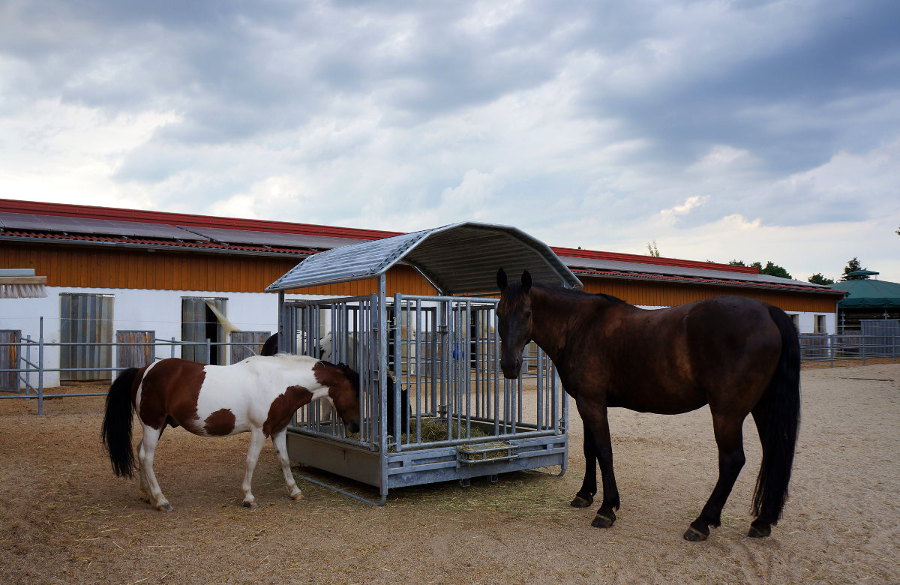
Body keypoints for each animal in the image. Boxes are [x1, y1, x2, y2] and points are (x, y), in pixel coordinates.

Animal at [100, 354, 360, 508]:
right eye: (356, 392)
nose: (356, 426)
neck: (278, 382)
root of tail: (143, 370)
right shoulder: (260, 430)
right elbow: (251, 461)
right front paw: (248, 497)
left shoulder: (278, 429)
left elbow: (285, 460)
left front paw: (294, 491)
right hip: (153, 424)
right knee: (147, 457)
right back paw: (161, 500)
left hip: (157, 425)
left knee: (140, 451)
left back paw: (147, 494)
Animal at [496, 268, 800, 540]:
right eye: (499, 313)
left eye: (527, 313)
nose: (510, 366)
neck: (580, 326)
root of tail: (767, 310)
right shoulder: (587, 402)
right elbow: (590, 449)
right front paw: (584, 495)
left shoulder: (592, 403)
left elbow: (604, 451)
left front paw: (607, 509)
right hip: (761, 408)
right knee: (772, 454)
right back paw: (761, 522)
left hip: (727, 413)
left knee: (732, 460)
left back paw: (701, 523)